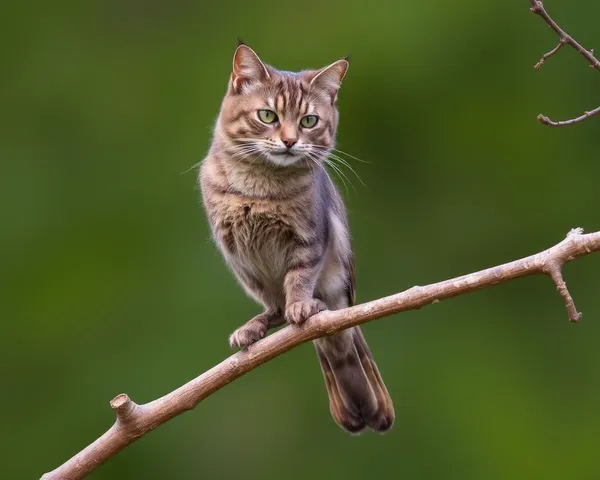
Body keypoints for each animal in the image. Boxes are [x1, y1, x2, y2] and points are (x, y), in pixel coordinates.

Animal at [198, 42, 394, 436]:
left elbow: (300, 279)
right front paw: (262, 322)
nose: (289, 141)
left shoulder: (309, 240)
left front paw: (301, 305)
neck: (258, 187)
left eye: (309, 121)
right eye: (267, 115)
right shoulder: (240, 257)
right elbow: (274, 302)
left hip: (340, 292)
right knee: (272, 308)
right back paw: (254, 328)